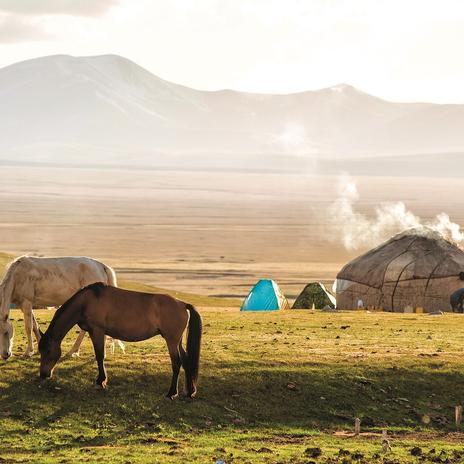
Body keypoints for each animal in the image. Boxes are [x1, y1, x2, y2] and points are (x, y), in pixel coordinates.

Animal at [38, 282, 201, 398]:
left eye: (48, 351)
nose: (43, 375)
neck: (86, 302)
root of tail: (182, 304)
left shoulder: (97, 331)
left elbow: (100, 356)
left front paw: (101, 381)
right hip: (177, 341)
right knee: (186, 360)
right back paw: (190, 391)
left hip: (171, 341)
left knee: (177, 363)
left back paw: (172, 392)